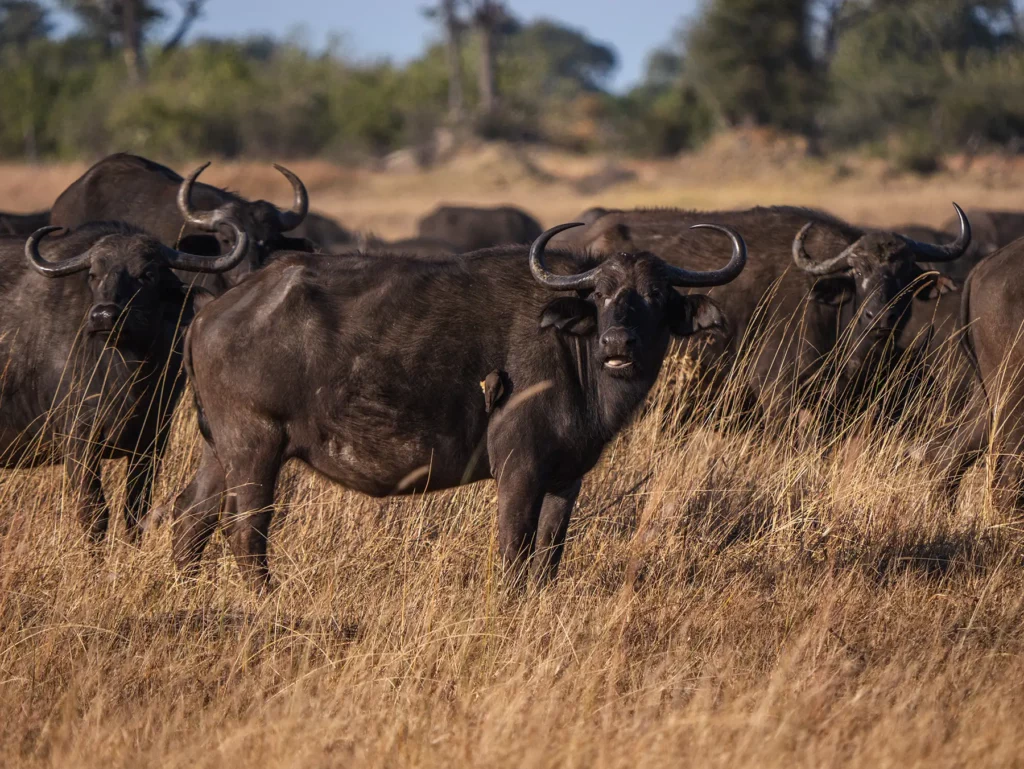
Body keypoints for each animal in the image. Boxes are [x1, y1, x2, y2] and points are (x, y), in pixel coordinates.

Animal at [0, 219, 248, 541]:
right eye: (93, 274)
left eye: (147, 274)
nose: (104, 316)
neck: (126, 375)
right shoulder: (78, 439)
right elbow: (94, 513)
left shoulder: (152, 441)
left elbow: (136, 511)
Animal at [166, 222, 747, 589]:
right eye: (602, 294)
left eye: (655, 295)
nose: (618, 343)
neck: (572, 350)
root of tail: (212, 311)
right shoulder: (518, 469)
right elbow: (514, 550)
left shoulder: (567, 478)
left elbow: (549, 554)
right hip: (255, 447)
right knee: (246, 532)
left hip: (219, 449)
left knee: (189, 516)